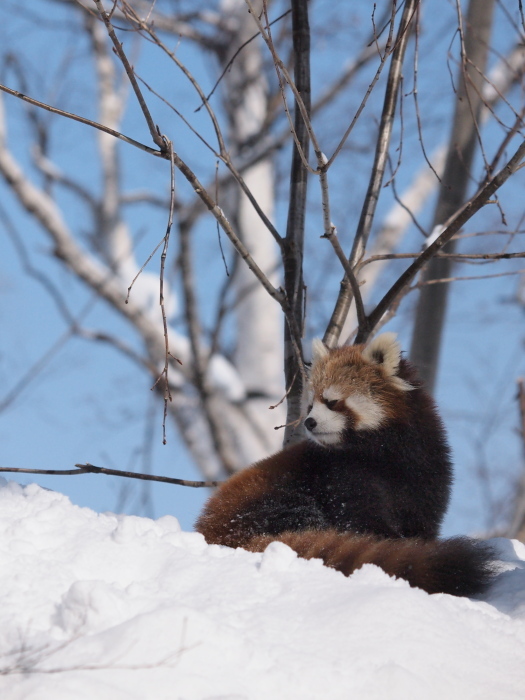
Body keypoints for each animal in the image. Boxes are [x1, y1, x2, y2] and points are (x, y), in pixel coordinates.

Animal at [196, 334, 496, 596]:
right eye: (310, 405)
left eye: (332, 402)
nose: (309, 422)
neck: (381, 453)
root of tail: (209, 531)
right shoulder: (340, 477)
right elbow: (360, 520)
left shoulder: (428, 473)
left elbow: (422, 519)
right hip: (271, 498)